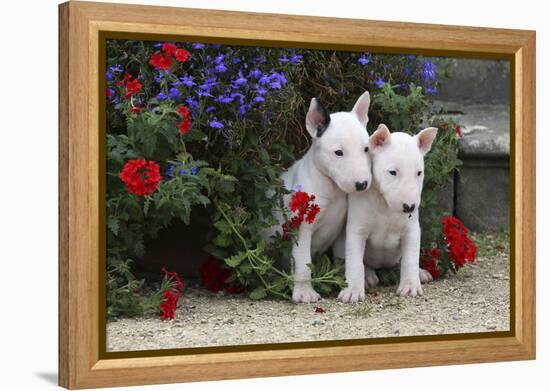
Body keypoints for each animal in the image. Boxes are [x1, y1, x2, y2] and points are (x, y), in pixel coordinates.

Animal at [264, 91, 376, 304]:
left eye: (366, 149)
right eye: (338, 152)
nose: (362, 184)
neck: (333, 189)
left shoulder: (342, 230)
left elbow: (344, 257)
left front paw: (346, 283)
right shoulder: (301, 229)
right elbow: (302, 262)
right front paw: (304, 293)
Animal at [336, 123, 440, 304]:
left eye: (419, 173)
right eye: (392, 172)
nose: (409, 207)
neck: (385, 205)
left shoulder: (412, 230)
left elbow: (410, 258)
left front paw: (410, 286)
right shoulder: (357, 230)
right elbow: (355, 261)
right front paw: (352, 291)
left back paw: (420, 273)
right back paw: (368, 276)